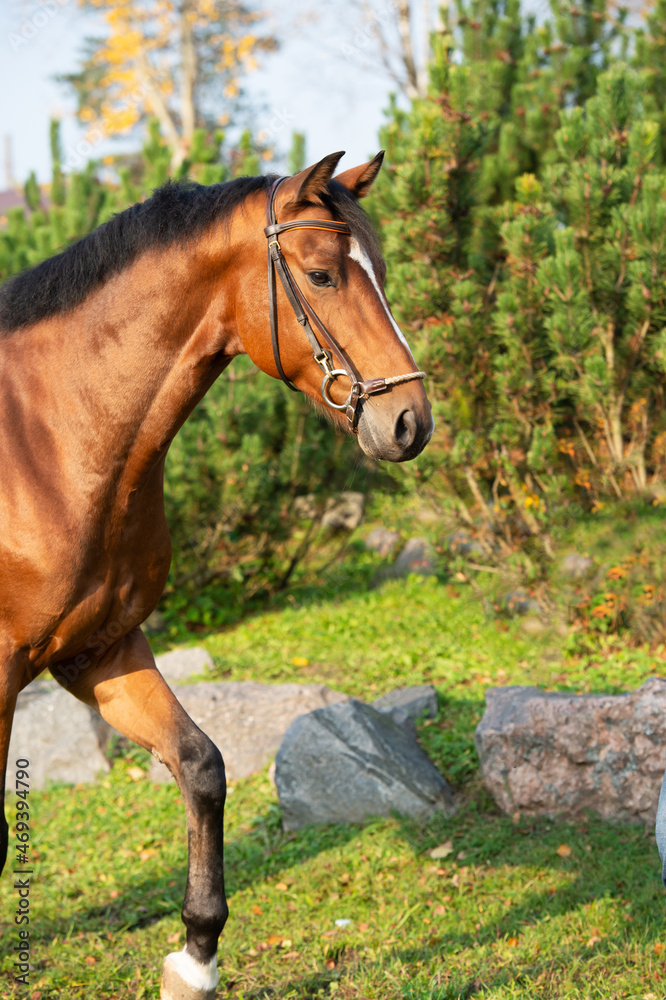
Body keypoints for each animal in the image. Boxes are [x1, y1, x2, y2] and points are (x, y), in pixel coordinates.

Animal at [0, 150, 433, 1000]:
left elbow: (201, 765)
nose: (410, 423)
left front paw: (194, 959)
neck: (47, 445)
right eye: (323, 274)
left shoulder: (100, 651)